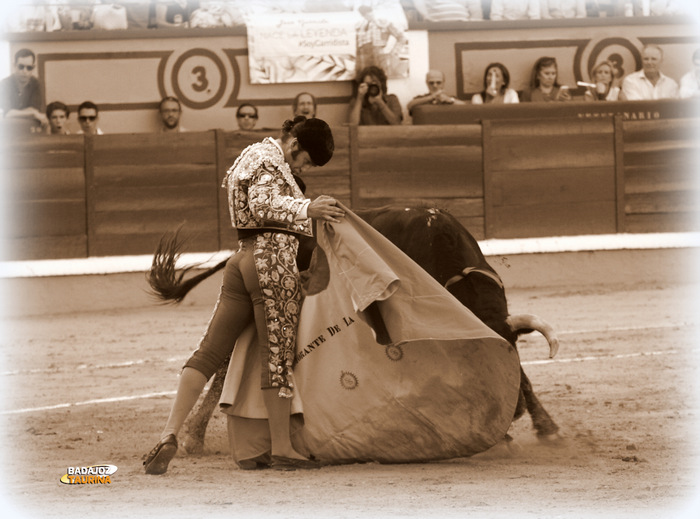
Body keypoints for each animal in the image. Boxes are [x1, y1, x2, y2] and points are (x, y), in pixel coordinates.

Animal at [150, 205, 560, 458]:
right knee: (223, 365)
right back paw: (193, 437)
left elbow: (523, 375)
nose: (514, 412)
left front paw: (544, 426)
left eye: (512, 351)